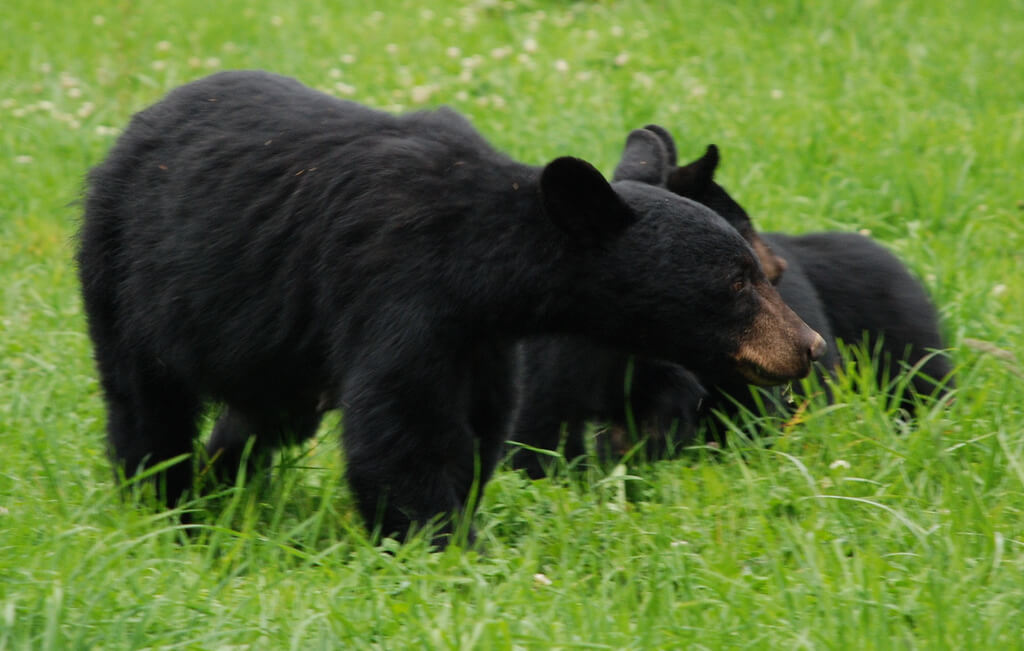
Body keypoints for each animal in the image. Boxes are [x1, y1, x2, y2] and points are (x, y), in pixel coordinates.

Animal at [77, 70, 826, 545]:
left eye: (754, 271)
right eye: (736, 281)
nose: (809, 345)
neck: (481, 267)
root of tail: (134, 127)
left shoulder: (478, 338)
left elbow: (482, 421)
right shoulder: (396, 292)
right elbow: (404, 431)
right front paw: (446, 544)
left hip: (270, 340)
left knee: (267, 413)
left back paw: (220, 478)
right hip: (125, 276)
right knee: (145, 401)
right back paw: (166, 500)